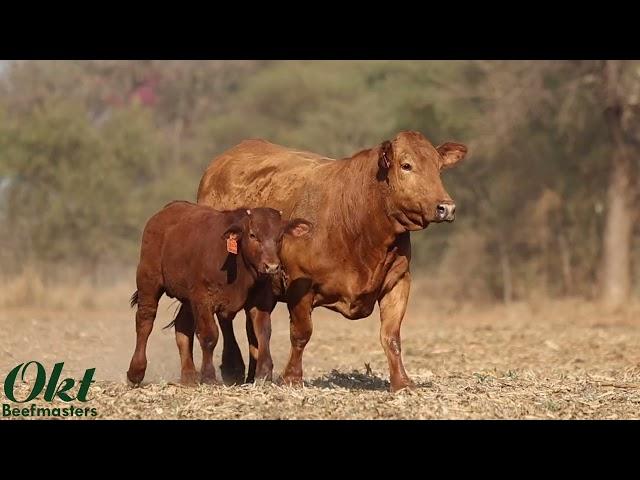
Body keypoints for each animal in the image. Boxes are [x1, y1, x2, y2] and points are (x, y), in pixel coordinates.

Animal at [124, 202, 312, 386]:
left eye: (280, 237)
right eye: (253, 235)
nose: (272, 266)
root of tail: (166, 210)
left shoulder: (260, 301)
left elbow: (263, 332)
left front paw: (264, 373)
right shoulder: (203, 300)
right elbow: (209, 336)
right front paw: (208, 376)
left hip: (187, 298)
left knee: (182, 326)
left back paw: (189, 375)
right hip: (148, 282)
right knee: (145, 321)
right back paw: (136, 372)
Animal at [172, 130, 468, 390]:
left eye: (439, 167)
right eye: (406, 165)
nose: (446, 207)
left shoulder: (398, 281)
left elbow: (391, 336)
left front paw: (402, 383)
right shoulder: (300, 284)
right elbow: (301, 333)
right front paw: (292, 378)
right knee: (226, 319)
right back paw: (233, 368)